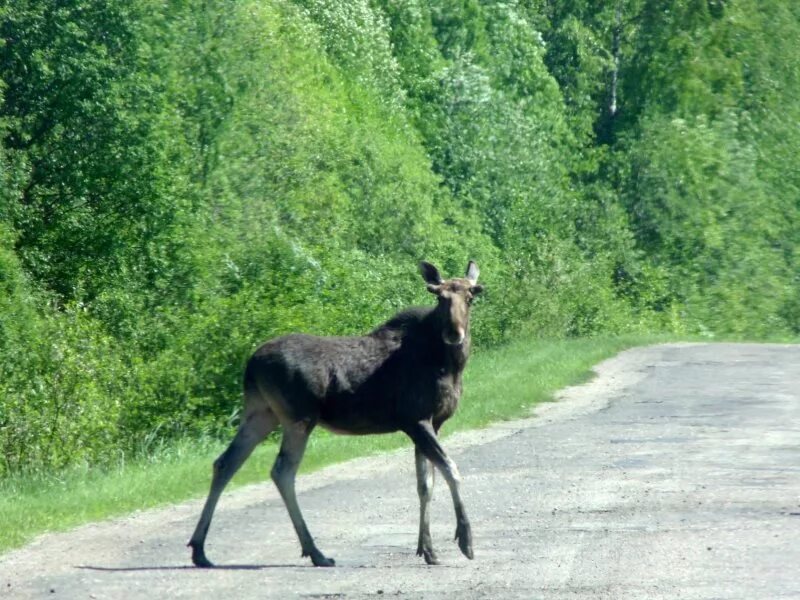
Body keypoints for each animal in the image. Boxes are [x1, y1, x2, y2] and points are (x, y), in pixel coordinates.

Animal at [191, 260, 484, 564]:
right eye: (440, 297)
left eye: (471, 296)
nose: (454, 333)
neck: (449, 366)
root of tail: (250, 365)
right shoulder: (415, 420)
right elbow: (451, 469)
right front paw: (465, 539)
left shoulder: (432, 423)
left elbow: (425, 484)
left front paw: (427, 549)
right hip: (298, 418)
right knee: (282, 471)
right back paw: (315, 551)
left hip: (261, 414)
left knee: (226, 462)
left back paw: (200, 549)